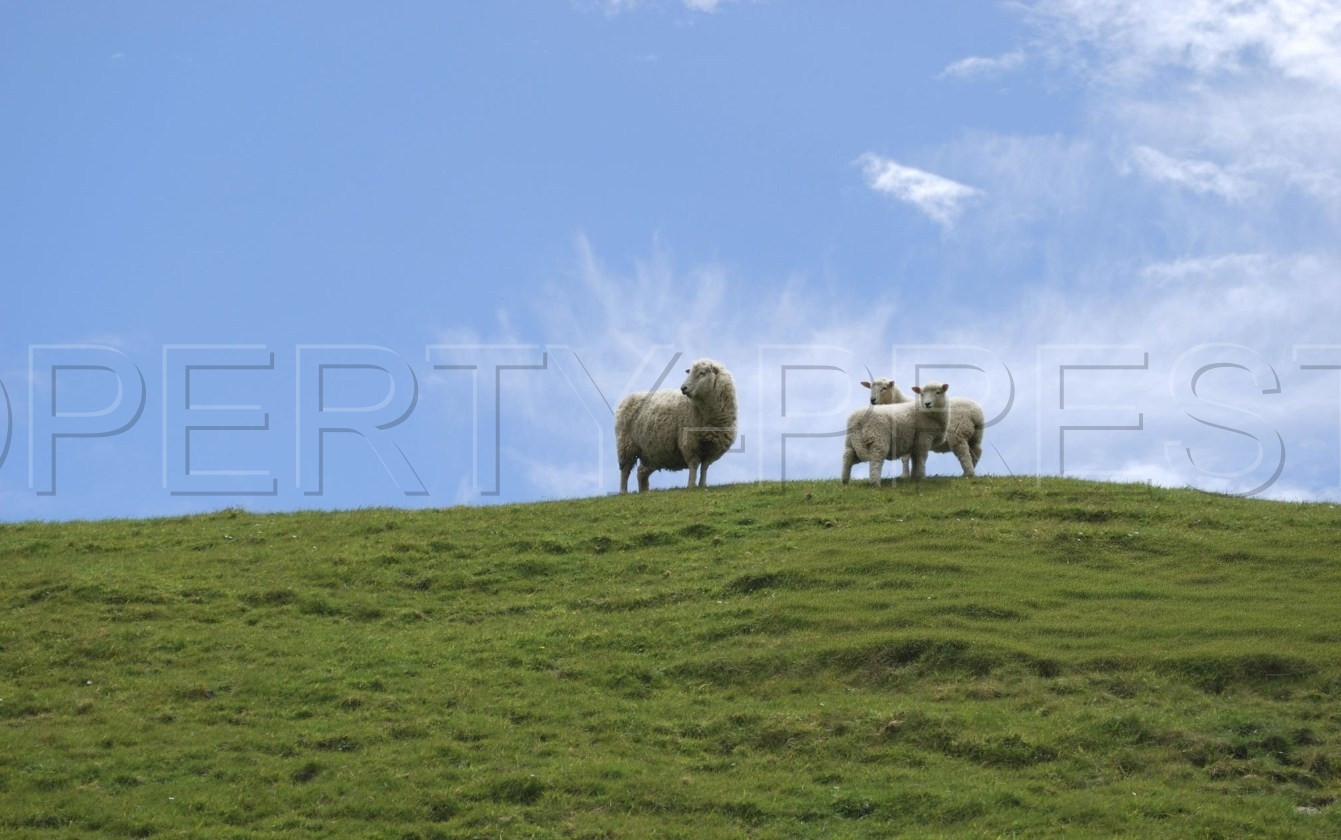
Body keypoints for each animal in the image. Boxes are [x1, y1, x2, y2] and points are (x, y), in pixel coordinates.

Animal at [614, 356, 740, 491]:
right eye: (689, 372)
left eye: (702, 373)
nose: (683, 388)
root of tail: (627, 398)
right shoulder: (690, 443)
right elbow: (694, 465)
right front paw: (691, 486)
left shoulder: (713, 447)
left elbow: (704, 467)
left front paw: (702, 485)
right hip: (626, 445)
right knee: (625, 470)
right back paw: (623, 491)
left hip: (651, 452)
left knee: (641, 472)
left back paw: (644, 492)